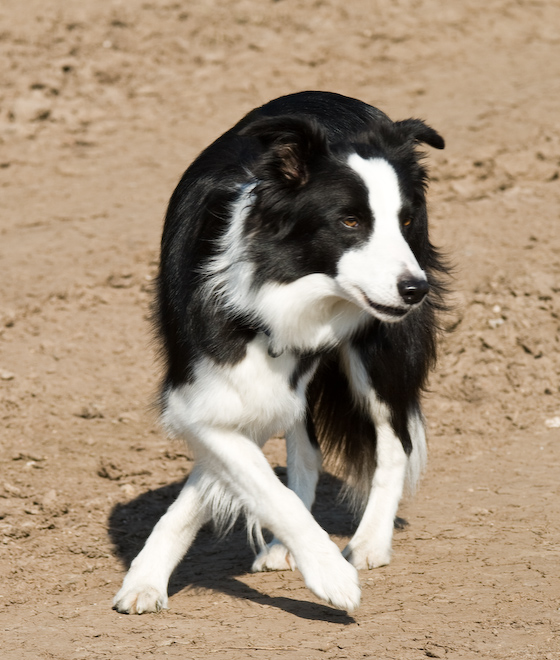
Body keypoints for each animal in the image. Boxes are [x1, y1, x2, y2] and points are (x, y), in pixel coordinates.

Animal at [112, 89, 446, 612]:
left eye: (405, 220)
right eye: (349, 221)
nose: (415, 290)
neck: (277, 291)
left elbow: (247, 481)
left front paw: (334, 575)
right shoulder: (203, 394)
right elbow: (258, 481)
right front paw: (145, 581)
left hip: (379, 349)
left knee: (396, 442)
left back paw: (370, 543)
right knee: (307, 452)